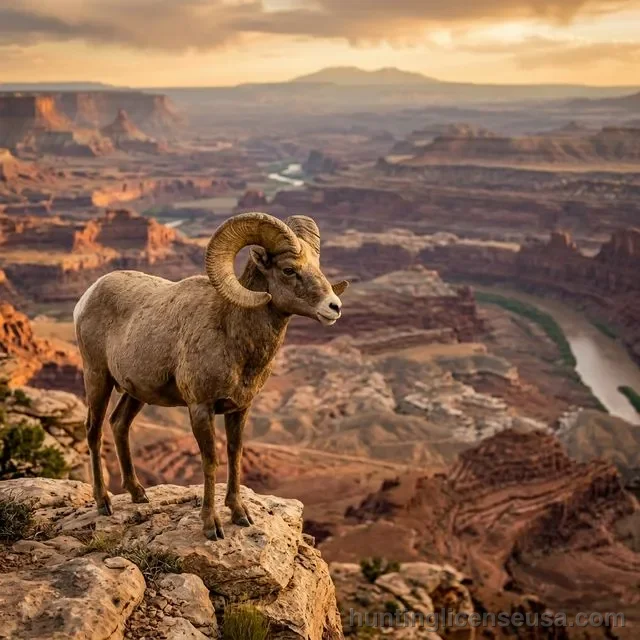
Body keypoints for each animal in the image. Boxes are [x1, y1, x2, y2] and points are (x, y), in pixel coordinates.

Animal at [73, 212, 348, 540]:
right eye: (288, 269)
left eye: (317, 266)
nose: (334, 308)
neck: (232, 335)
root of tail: (87, 296)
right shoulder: (200, 409)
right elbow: (210, 460)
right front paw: (211, 525)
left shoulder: (239, 409)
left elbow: (234, 453)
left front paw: (240, 514)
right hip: (97, 378)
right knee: (94, 430)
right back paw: (103, 503)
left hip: (135, 392)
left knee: (119, 425)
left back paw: (138, 494)